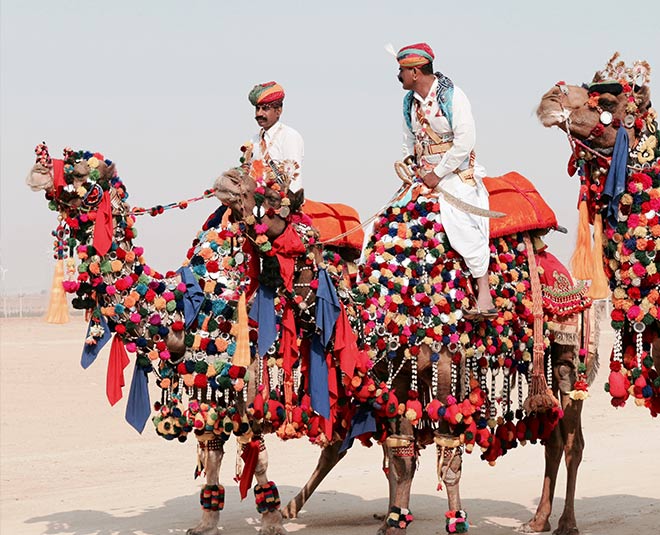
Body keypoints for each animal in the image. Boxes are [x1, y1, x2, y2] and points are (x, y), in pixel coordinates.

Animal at [27, 143, 384, 535]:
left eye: (78, 173)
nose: (37, 169)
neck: (182, 309)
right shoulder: (207, 390)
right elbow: (211, 452)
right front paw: (207, 522)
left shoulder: (245, 390)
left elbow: (256, 456)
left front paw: (271, 520)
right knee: (338, 444)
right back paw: (299, 507)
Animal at [214, 161, 597, 535]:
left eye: (269, 195)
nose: (227, 179)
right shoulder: (395, 377)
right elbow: (402, 457)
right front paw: (394, 521)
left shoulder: (447, 365)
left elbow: (449, 454)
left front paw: (456, 522)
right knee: (553, 438)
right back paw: (538, 520)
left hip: (566, 350)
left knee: (572, 441)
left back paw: (567, 523)